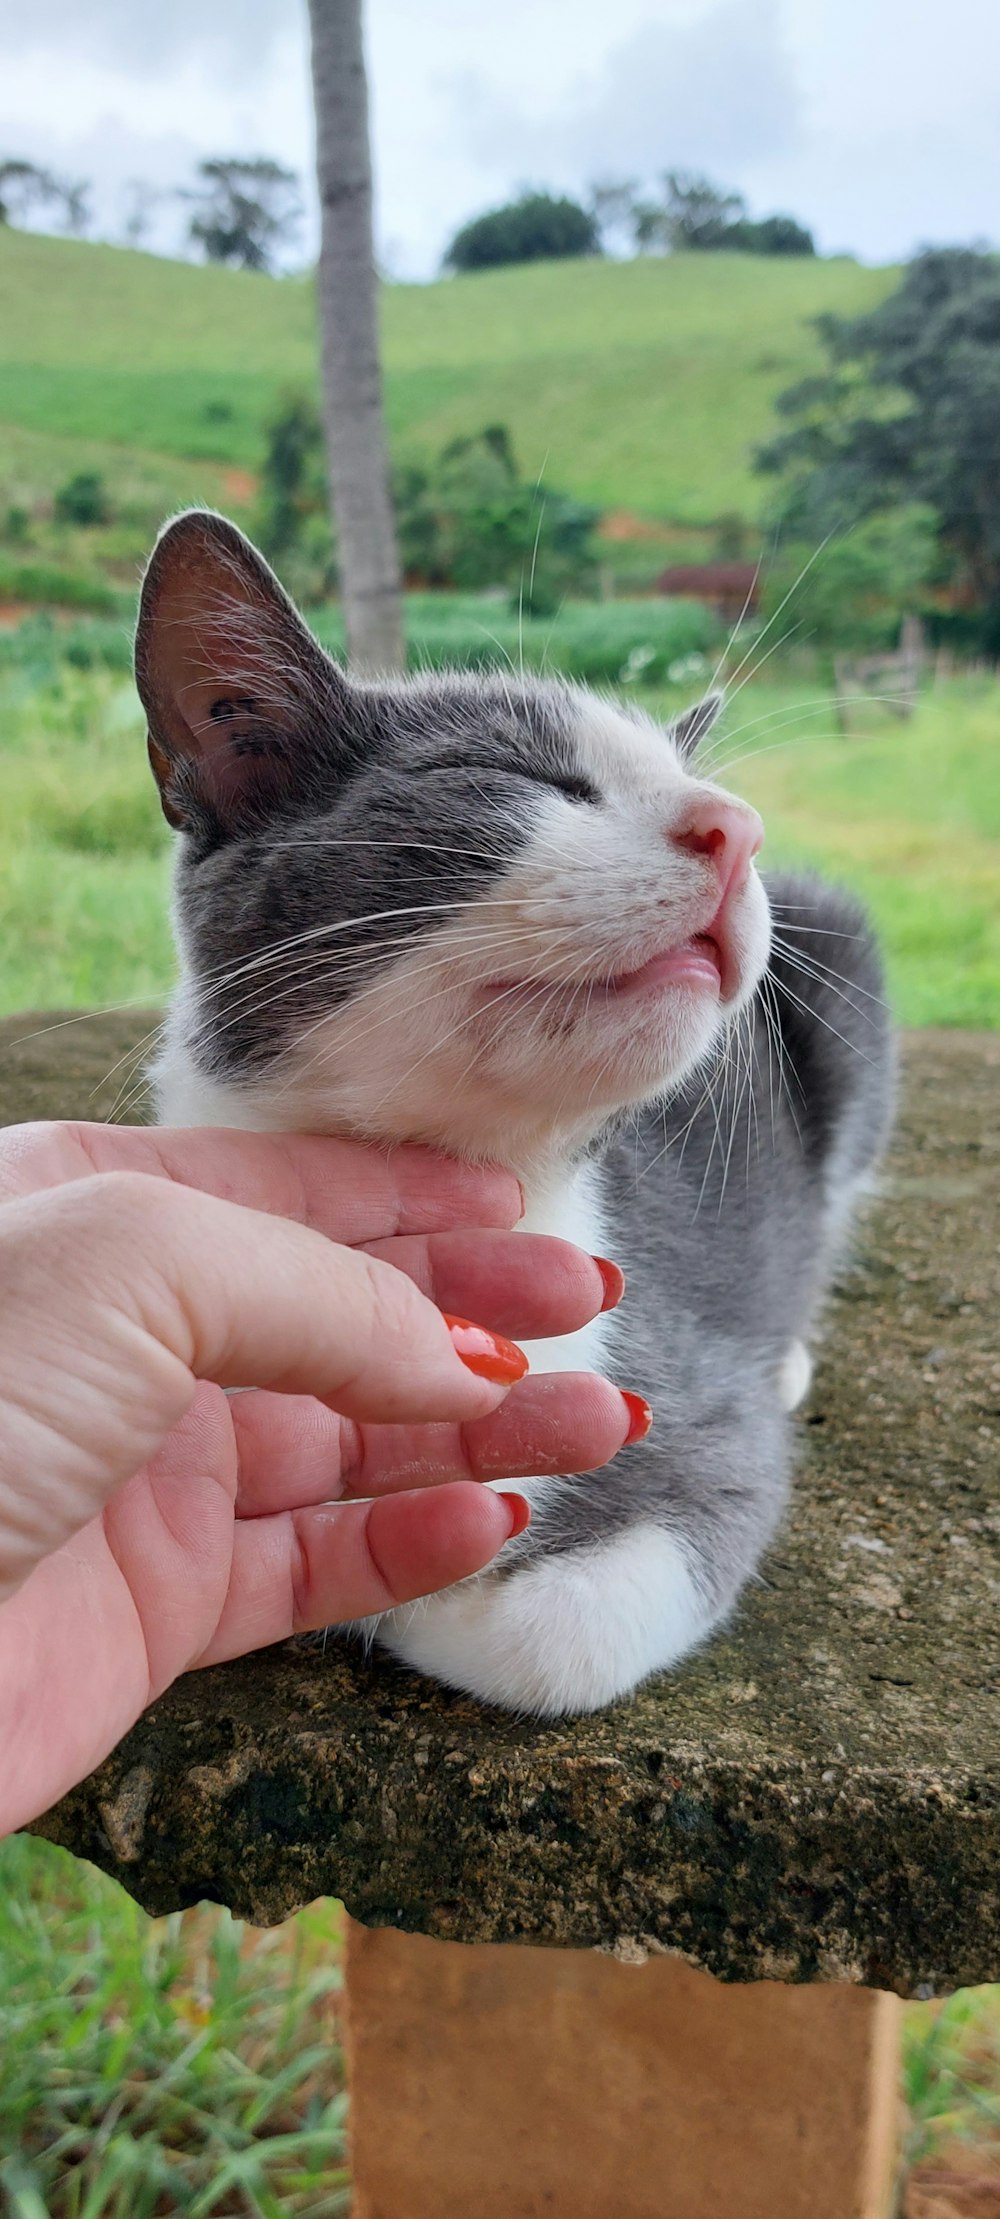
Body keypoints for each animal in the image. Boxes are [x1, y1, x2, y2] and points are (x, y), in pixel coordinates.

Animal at [136, 508, 895, 1713]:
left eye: (700, 783)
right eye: (510, 771)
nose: (738, 826)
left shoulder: (704, 1412)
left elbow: (551, 1637)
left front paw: (426, 1590)